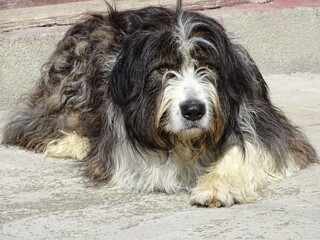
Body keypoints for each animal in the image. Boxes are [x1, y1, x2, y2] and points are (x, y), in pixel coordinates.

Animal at [2, 0, 318, 206]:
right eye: (164, 68)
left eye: (208, 66)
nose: (193, 110)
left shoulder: (260, 117)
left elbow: (249, 148)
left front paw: (218, 186)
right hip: (74, 78)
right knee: (32, 125)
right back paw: (72, 142)